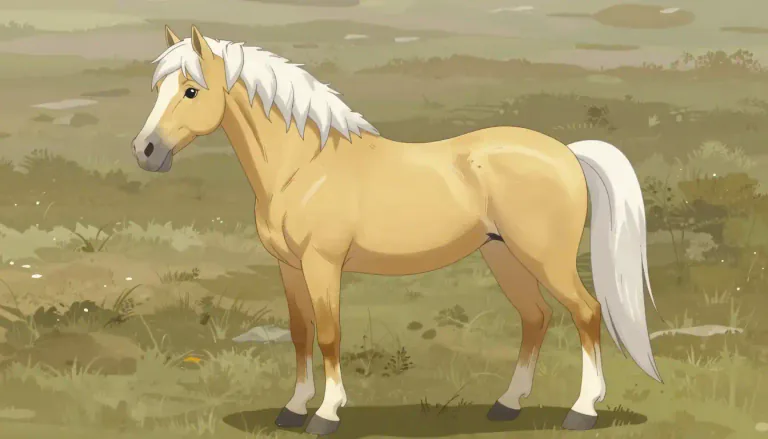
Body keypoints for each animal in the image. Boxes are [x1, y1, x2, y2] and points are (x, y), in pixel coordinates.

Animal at [131, 25, 662, 436]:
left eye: (191, 91)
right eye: (158, 90)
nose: (145, 151)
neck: (305, 166)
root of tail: (567, 152)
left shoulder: (322, 265)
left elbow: (328, 334)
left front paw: (326, 414)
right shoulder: (288, 267)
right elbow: (300, 333)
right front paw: (293, 409)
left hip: (544, 258)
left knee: (586, 313)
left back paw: (582, 411)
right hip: (502, 255)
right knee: (536, 318)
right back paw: (506, 405)